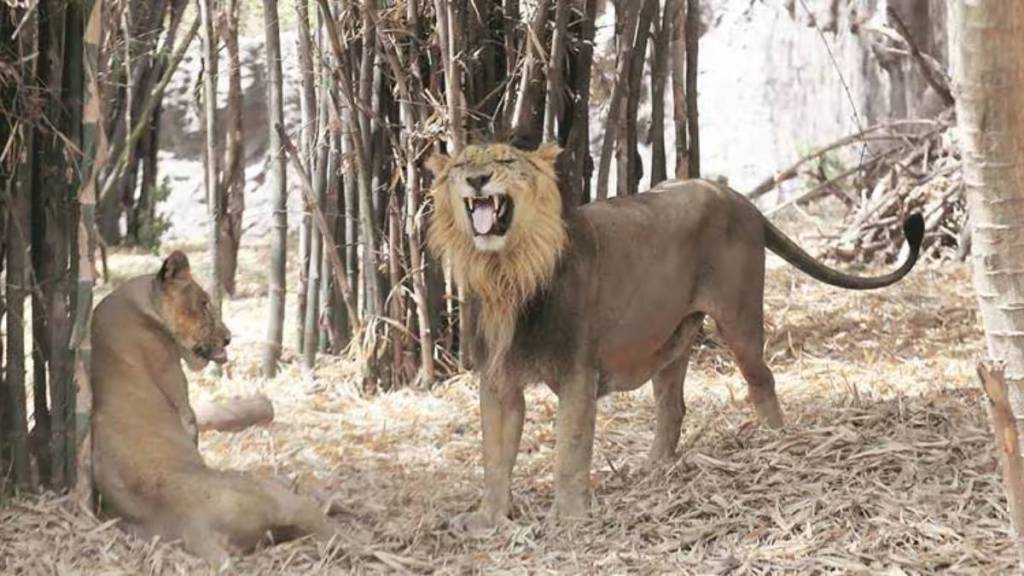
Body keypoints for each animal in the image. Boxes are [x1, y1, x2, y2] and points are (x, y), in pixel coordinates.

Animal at [91, 250, 331, 561]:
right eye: (204, 303)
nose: (228, 337)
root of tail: (197, 527)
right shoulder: (182, 404)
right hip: (275, 497)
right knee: (316, 516)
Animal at [428, 141, 925, 528]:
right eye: (461, 164)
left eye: (506, 160)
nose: (476, 180)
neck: (504, 273)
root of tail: (737, 196)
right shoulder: (497, 380)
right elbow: (494, 454)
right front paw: (489, 518)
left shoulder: (576, 373)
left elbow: (569, 451)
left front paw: (567, 519)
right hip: (670, 340)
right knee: (673, 406)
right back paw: (654, 470)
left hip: (739, 318)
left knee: (762, 380)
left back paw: (776, 444)